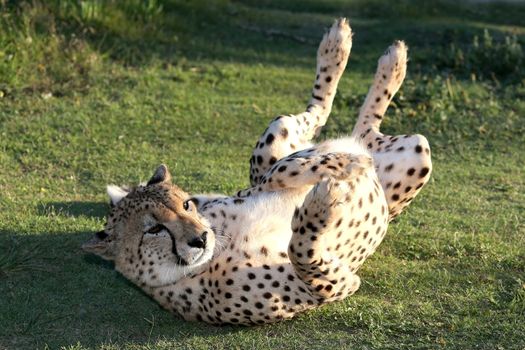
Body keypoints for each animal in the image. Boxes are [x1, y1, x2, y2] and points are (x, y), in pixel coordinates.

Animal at [84, 19, 432, 326]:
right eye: (154, 229)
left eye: (185, 205)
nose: (200, 238)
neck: (218, 251)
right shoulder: (337, 284)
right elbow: (300, 250)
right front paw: (325, 202)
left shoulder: (257, 187)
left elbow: (285, 169)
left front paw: (342, 165)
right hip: (418, 154)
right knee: (362, 128)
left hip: (288, 130)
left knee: (331, 118)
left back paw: (357, 54)